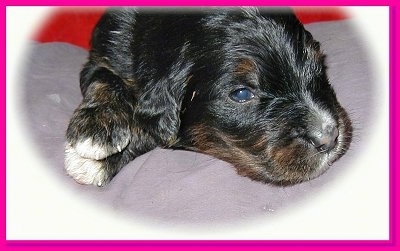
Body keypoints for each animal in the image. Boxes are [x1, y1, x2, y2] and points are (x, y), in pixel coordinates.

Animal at [65, 7, 354, 186]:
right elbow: (104, 79)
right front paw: (95, 130)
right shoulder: (103, 53)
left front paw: (97, 163)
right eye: (241, 94)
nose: (329, 137)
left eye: (318, 66)